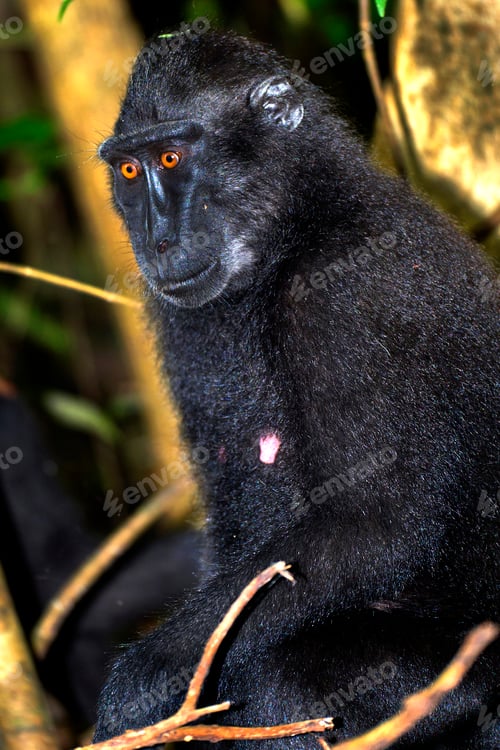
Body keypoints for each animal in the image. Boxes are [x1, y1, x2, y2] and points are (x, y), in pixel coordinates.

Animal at [94, 29, 499, 748]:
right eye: (130, 172)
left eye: (171, 156)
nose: (158, 241)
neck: (297, 228)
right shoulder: (184, 322)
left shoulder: (349, 293)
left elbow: (375, 521)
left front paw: (138, 688)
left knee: (285, 684)